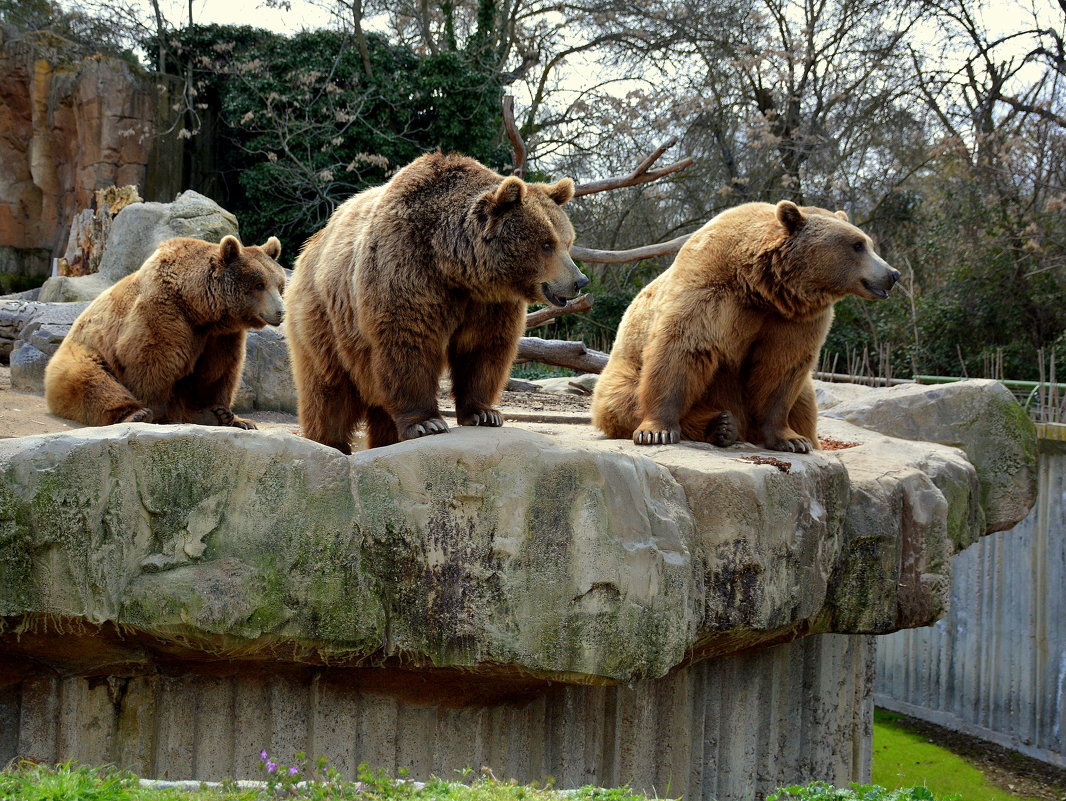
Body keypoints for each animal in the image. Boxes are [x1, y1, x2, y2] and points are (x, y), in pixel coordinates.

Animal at [45, 234, 287, 428]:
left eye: (279, 285)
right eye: (259, 284)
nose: (281, 312)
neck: (198, 307)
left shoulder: (221, 336)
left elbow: (219, 372)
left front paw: (230, 415)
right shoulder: (164, 312)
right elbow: (155, 362)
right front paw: (161, 414)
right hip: (85, 353)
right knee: (93, 381)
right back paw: (136, 414)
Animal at [283, 150, 588, 452]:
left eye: (567, 241)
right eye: (546, 244)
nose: (579, 280)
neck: (454, 266)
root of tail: (310, 246)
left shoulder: (489, 303)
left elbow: (483, 349)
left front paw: (485, 413)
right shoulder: (407, 270)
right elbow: (409, 342)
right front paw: (427, 423)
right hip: (324, 316)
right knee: (328, 387)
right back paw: (329, 441)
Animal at [592, 200, 899, 452]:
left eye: (868, 243)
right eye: (857, 244)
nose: (892, 274)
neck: (762, 286)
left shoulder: (795, 320)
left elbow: (782, 369)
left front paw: (791, 439)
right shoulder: (709, 293)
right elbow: (682, 349)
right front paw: (656, 431)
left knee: (804, 402)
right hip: (622, 370)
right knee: (619, 400)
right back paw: (721, 425)